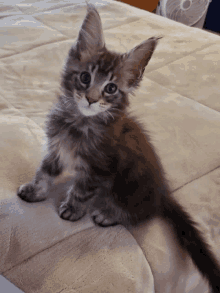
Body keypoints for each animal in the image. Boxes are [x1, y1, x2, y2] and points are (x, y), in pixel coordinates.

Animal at [17, 4, 220, 290]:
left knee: (143, 214)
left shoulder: (100, 167)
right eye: (85, 77)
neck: (79, 123)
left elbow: (81, 190)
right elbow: (44, 172)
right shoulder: (56, 149)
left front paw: (72, 209)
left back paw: (108, 214)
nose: (91, 99)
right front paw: (35, 191)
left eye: (111, 88)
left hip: (130, 186)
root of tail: (163, 191)